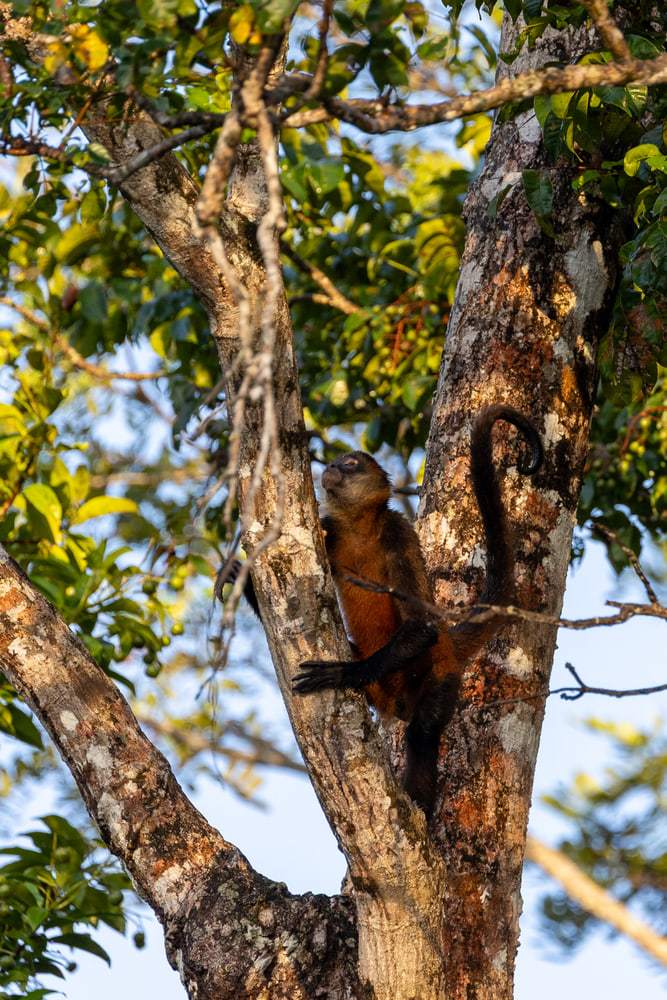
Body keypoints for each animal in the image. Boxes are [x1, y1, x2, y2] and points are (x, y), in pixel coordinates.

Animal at [219, 404, 543, 814]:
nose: (333, 466)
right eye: (338, 462)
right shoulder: (327, 529)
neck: (358, 528)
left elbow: (421, 627)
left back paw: (420, 805)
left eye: (351, 464)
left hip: (440, 674)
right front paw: (238, 577)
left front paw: (342, 674)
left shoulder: (396, 530)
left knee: (422, 731)